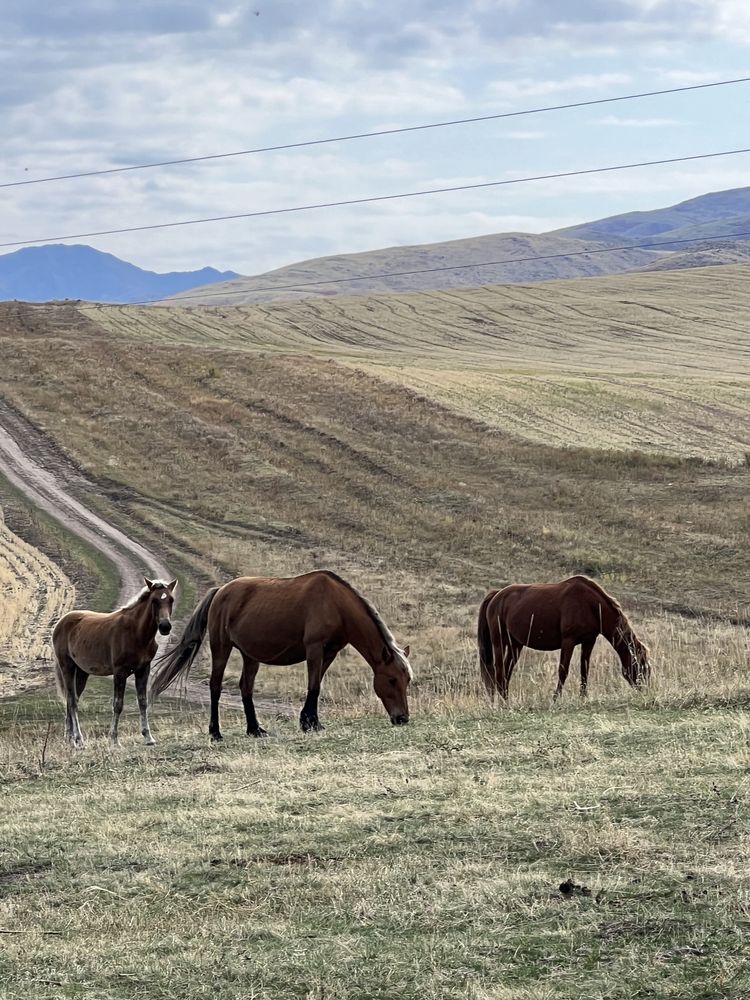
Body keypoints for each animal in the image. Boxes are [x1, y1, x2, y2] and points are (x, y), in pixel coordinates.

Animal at [52, 576, 178, 748]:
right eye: (154, 600)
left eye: (171, 599)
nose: (165, 627)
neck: (136, 632)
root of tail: (61, 622)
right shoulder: (120, 672)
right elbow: (118, 705)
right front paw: (114, 740)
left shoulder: (143, 670)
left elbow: (143, 702)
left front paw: (148, 737)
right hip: (67, 667)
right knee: (72, 702)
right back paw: (79, 739)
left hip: (82, 672)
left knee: (72, 700)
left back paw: (69, 738)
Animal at [150, 568, 414, 740]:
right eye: (392, 680)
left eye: (407, 680)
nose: (402, 718)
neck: (336, 604)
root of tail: (220, 591)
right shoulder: (315, 649)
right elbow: (313, 686)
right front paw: (311, 723)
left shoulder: (329, 653)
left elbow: (317, 684)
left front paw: (309, 721)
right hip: (221, 647)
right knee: (215, 685)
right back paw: (215, 732)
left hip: (250, 655)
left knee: (245, 687)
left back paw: (254, 729)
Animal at [482, 576, 652, 700]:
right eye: (641, 665)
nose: (645, 690)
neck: (590, 604)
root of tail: (496, 595)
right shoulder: (568, 641)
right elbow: (563, 670)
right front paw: (556, 698)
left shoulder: (588, 641)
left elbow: (584, 669)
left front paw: (583, 698)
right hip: (499, 642)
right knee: (499, 669)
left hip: (515, 644)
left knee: (507, 670)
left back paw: (505, 699)